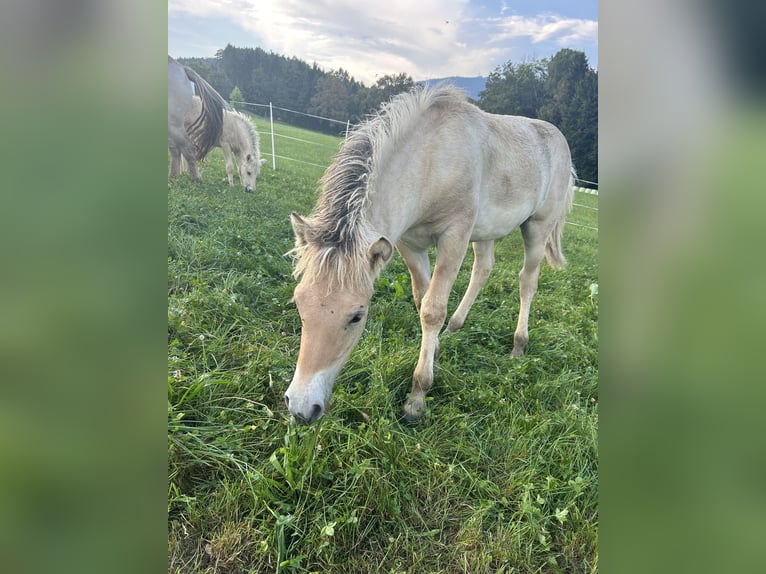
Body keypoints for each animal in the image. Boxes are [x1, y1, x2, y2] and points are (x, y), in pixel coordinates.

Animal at [284, 86, 572, 428]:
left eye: (357, 316)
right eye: (299, 304)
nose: (301, 407)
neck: (432, 159)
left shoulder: (454, 237)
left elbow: (433, 310)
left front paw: (417, 399)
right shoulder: (409, 243)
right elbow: (422, 301)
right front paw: (434, 351)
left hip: (537, 228)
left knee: (527, 281)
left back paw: (518, 345)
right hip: (486, 232)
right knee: (483, 270)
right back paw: (455, 327)